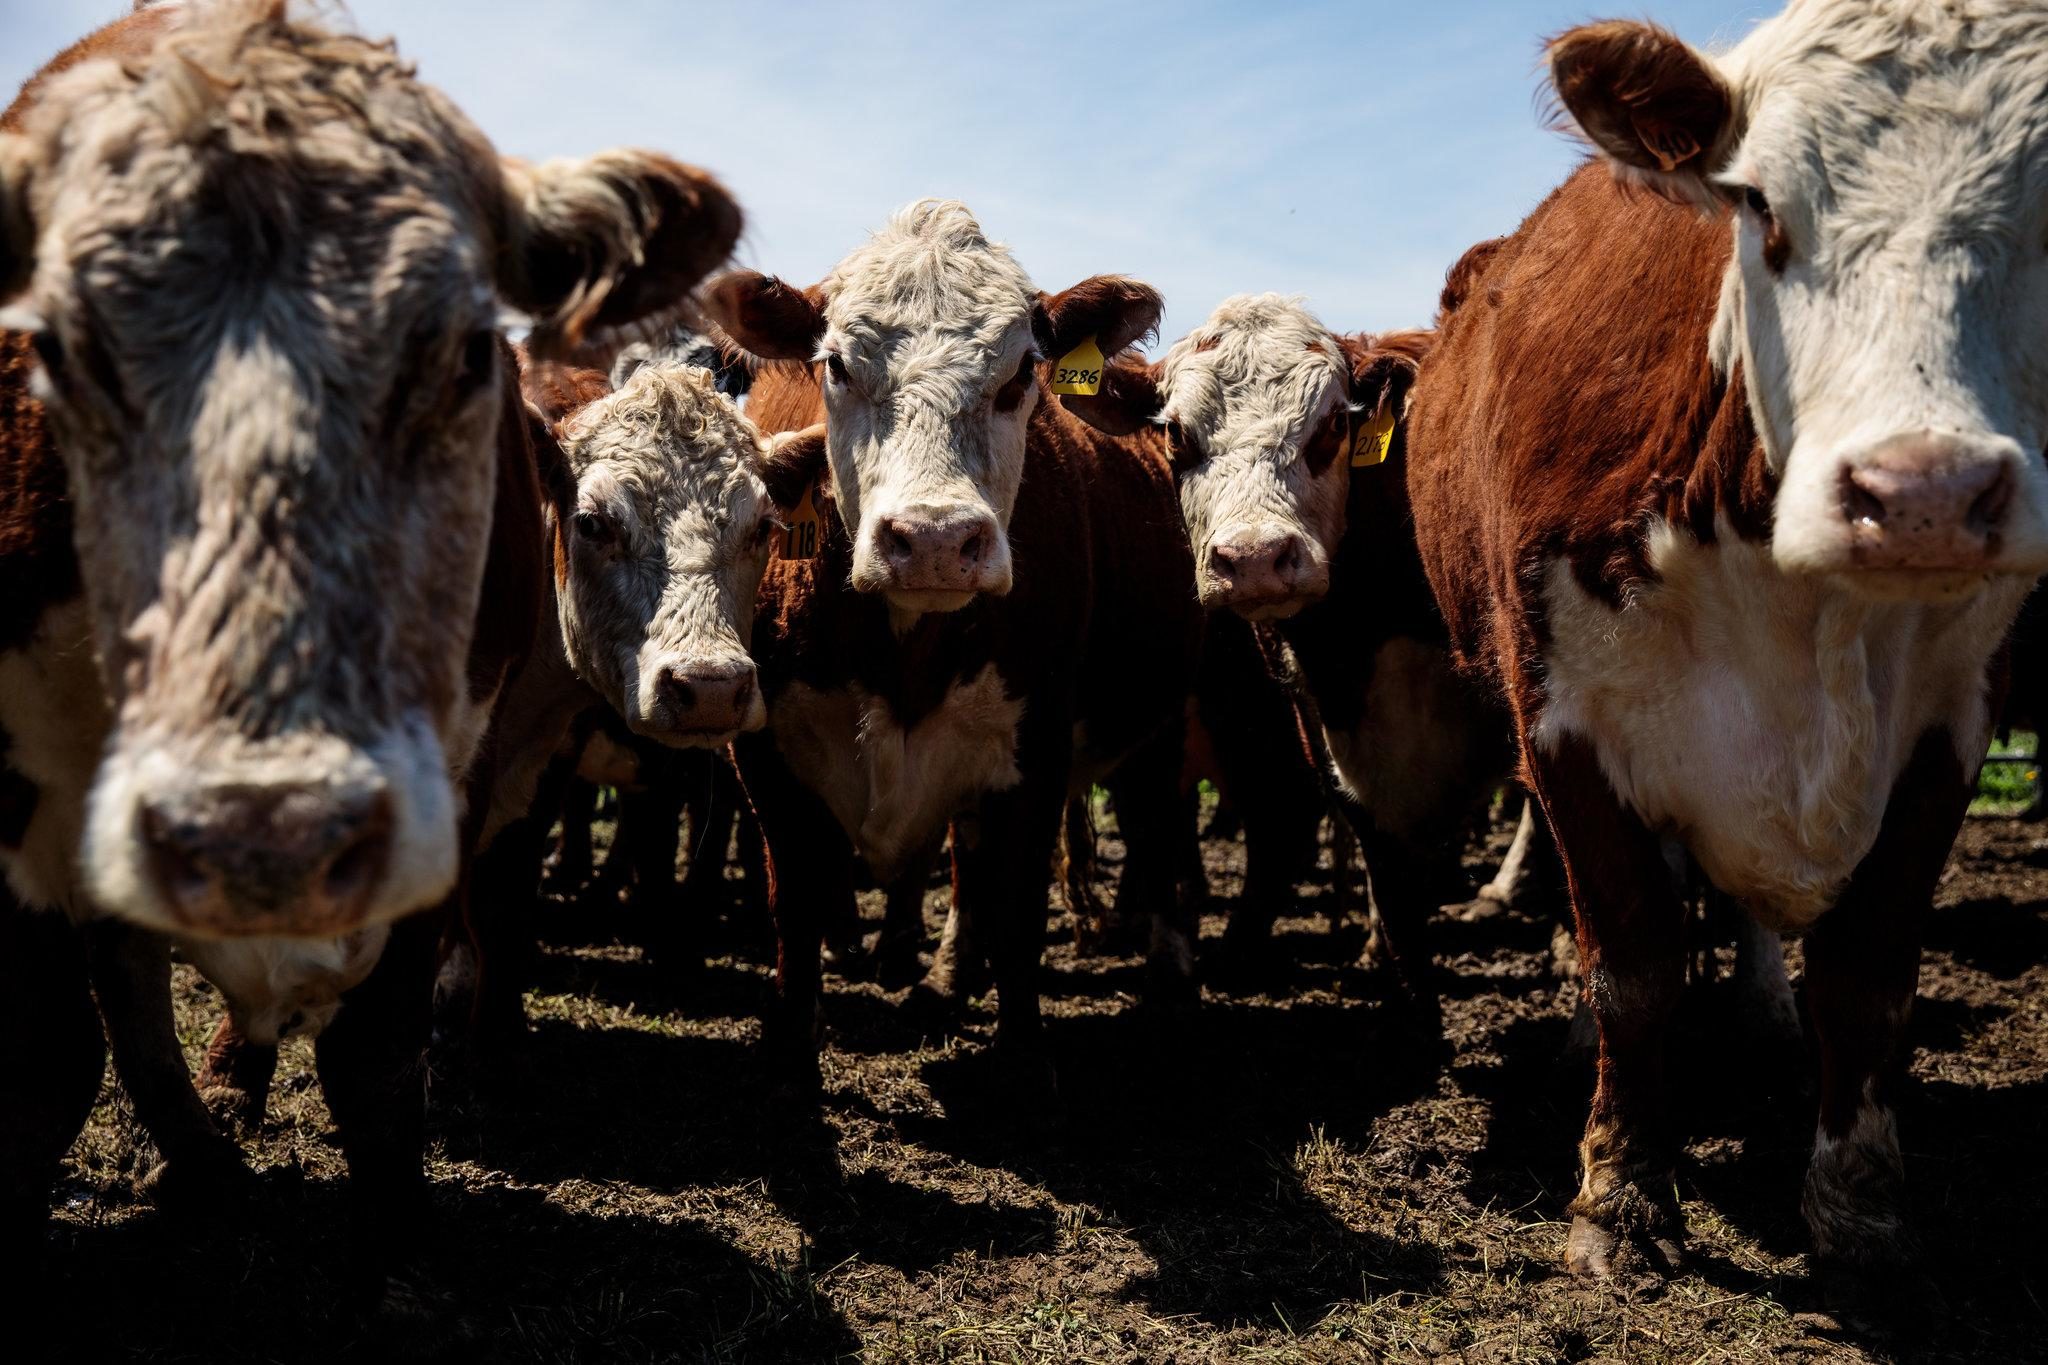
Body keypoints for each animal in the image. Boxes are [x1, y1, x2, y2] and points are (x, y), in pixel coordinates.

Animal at [0, 0, 741, 1266]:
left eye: (465, 351)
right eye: (56, 347)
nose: (268, 827)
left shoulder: (471, 770)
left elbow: (380, 1051)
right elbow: (54, 1055)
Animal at [703, 200, 1202, 1101]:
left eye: (1021, 374)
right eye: (837, 366)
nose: (935, 539)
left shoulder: (1038, 746)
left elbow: (1021, 906)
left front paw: (1024, 1054)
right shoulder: (766, 754)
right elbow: (795, 905)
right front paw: (790, 1054)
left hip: (1167, 713)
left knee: (1161, 816)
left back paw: (1171, 967)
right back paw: (945, 977)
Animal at [1404, 4, 2048, 1314]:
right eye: (1757, 204)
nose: (1921, 493)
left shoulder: (1953, 720)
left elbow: (1866, 975)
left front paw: (1857, 1209)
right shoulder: (1563, 715)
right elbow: (1633, 961)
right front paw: (1619, 1201)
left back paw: (1759, 1008)